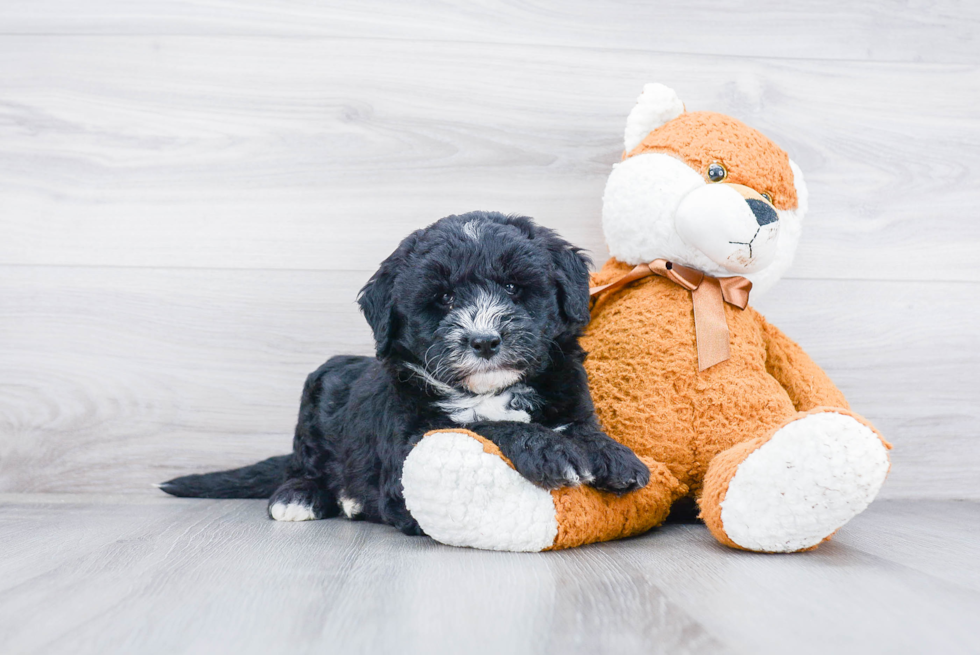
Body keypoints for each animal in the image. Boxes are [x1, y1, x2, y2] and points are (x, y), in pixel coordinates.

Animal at [161, 213, 648, 536]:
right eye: (444, 298)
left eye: (513, 287)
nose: (485, 341)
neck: (486, 390)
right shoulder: (407, 451)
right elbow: (484, 426)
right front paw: (549, 449)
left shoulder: (570, 396)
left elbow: (581, 428)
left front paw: (612, 454)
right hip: (317, 391)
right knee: (303, 463)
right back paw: (301, 496)